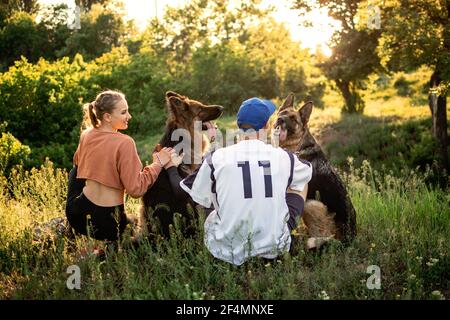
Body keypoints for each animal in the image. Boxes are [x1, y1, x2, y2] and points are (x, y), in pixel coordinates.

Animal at [272, 94, 356, 244]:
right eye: (283, 113)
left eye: (293, 119)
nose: (280, 119)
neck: (296, 144)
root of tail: (350, 237)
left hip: (311, 203)